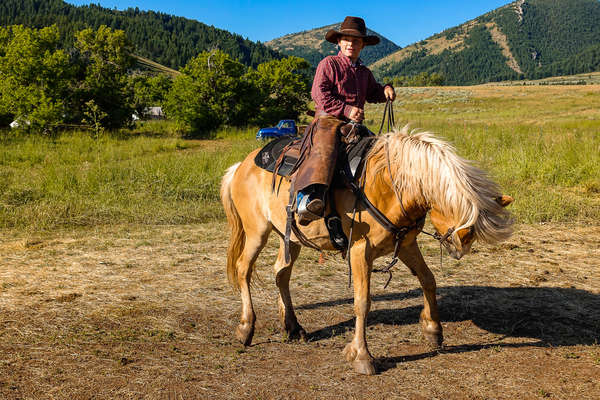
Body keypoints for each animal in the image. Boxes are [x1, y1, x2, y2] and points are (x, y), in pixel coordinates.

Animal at [223, 127, 512, 376]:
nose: (459, 248)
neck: (388, 183)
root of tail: (242, 166)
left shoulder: (406, 245)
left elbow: (428, 280)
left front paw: (433, 330)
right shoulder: (360, 251)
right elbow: (363, 302)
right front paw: (362, 356)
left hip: (291, 237)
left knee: (280, 273)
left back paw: (293, 327)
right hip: (257, 232)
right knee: (243, 269)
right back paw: (246, 328)